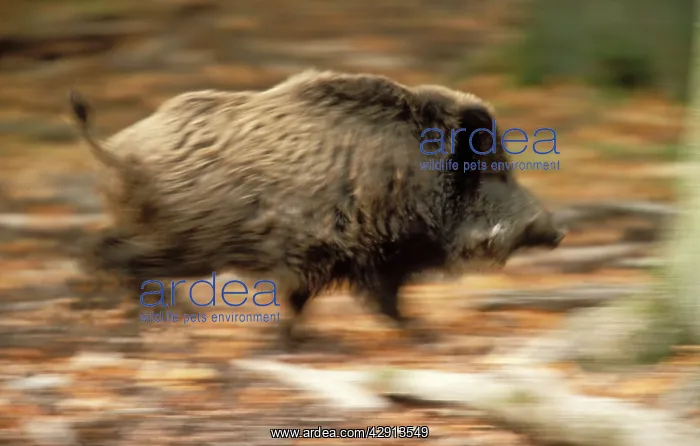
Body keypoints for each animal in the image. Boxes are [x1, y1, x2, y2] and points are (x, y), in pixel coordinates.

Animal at [68, 69, 566, 350]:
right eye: (497, 173)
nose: (558, 231)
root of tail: (117, 148)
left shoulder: (373, 256)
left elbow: (380, 299)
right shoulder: (322, 248)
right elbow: (313, 297)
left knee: (102, 247)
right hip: (187, 241)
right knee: (114, 254)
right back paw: (162, 319)